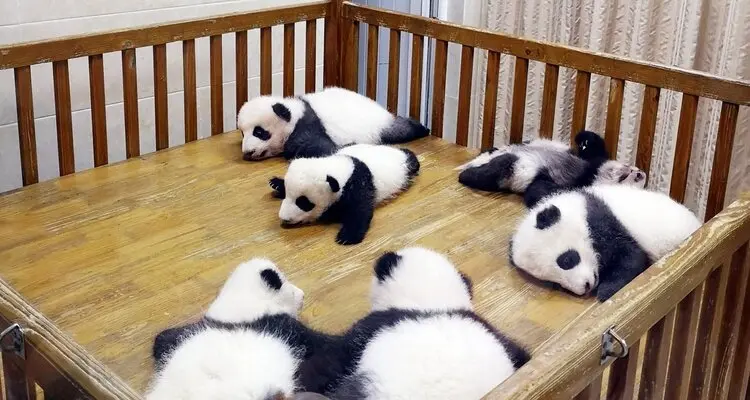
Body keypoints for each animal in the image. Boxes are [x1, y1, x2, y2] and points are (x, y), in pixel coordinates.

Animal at [146, 258, 340, 400]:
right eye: (291, 290)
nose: (302, 294)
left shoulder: (188, 332)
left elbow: (163, 340)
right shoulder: (285, 330)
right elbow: (323, 352)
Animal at [238, 87, 430, 161]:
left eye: (259, 132)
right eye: (242, 133)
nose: (248, 152)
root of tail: (382, 111)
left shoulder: (306, 125)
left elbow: (320, 147)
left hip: (376, 127)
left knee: (399, 130)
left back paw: (421, 128)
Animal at [269, 144, 420, 245]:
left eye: (304, 203)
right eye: (287, 196)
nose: (284, 218)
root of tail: (396, 152)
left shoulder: (358, 184)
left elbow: (360, 210)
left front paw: (346, 237)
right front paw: (278, 184)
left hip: (405, 168)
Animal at [456, 131, 646, 207]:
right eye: (626, 173)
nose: (640, 174)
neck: (594, 175)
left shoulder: (573, 182)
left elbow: (540, 191)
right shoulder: (592, 162)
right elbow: (594, 149)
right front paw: (584, 140)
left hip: (510, 171)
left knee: (491, 172)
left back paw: (467, 173)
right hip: (527, 143)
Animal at [509, 184, 702, 301]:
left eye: (567, 260)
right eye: (555, 283)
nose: (585, 287)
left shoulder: (604, 223)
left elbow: (631, 257)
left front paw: (606, 291)